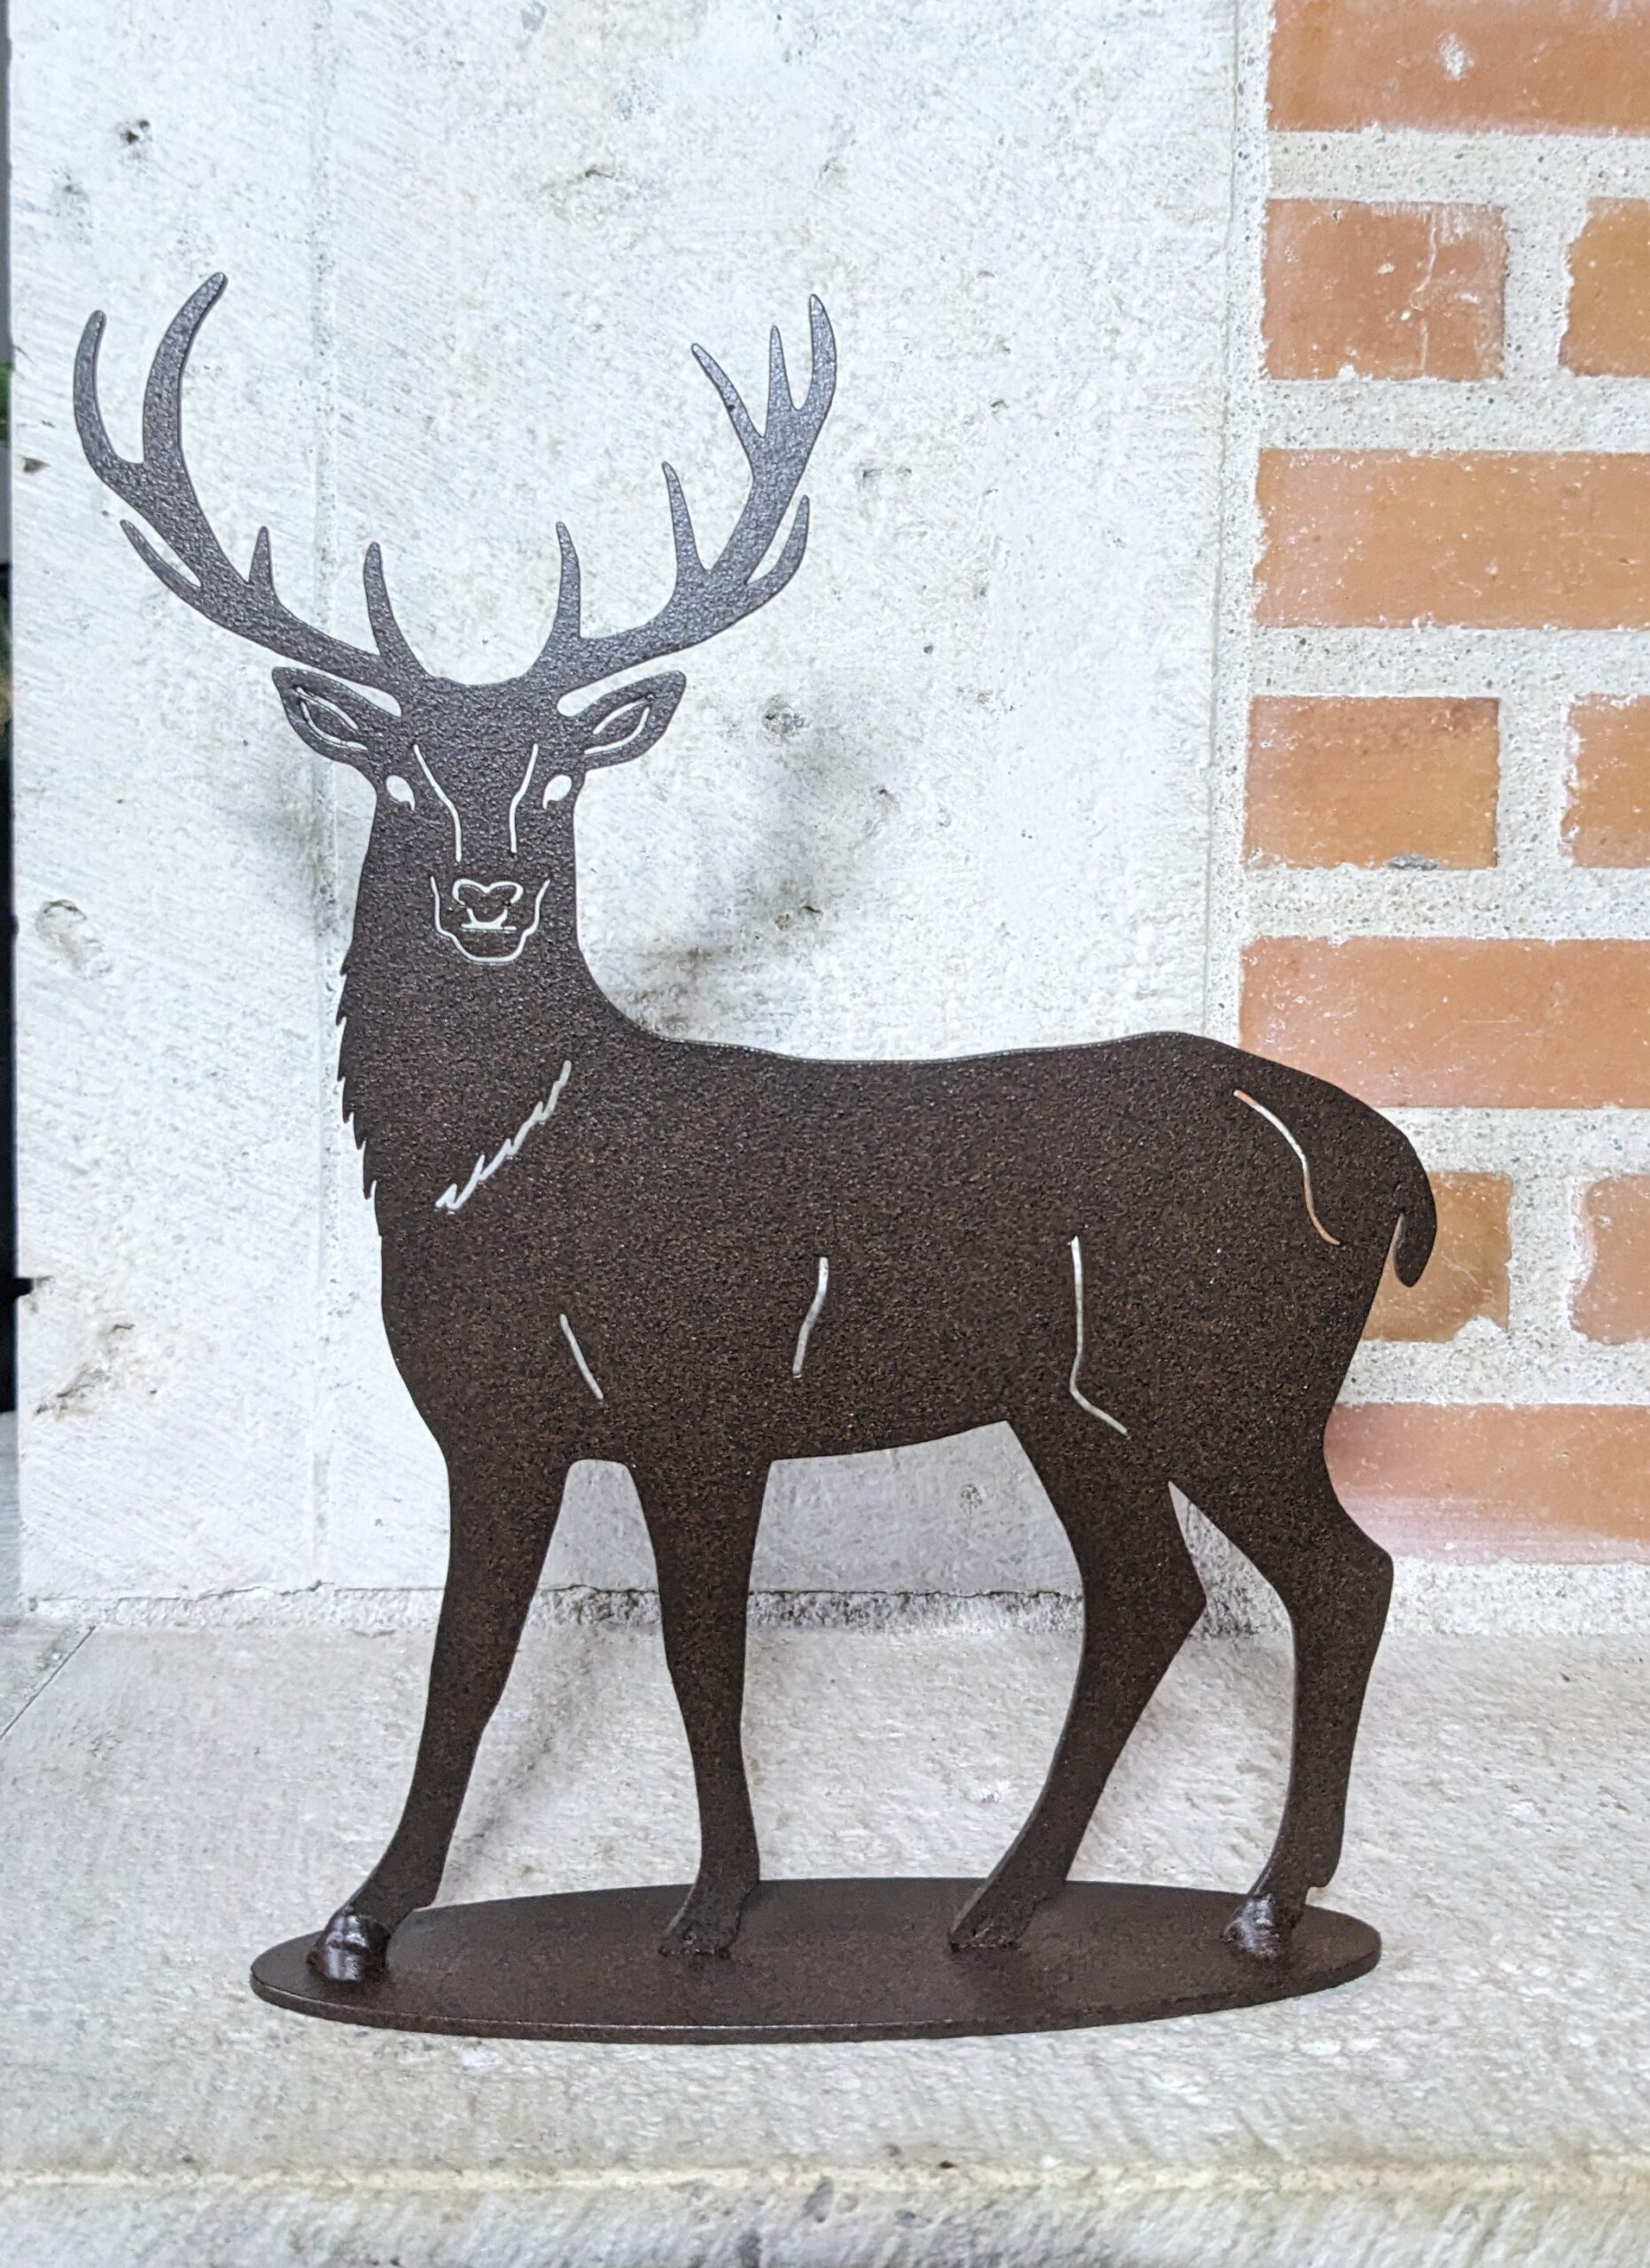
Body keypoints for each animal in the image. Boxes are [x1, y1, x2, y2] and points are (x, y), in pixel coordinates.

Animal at [76, 275, 1434, 1988]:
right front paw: (362, 1919)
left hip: (1226, 1371)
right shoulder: (494, 1422)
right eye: (395, 772)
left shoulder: (698, 1399)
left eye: (559, 779)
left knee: (1343, 1572)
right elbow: (467, 1659)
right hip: (1080, 1405)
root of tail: (1390, 1169)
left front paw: (712, 1911)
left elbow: (699, 1657)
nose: (486, 902)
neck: (484, 1178)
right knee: (1151, 1598)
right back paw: (999, 1910)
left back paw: (1264, 1902)